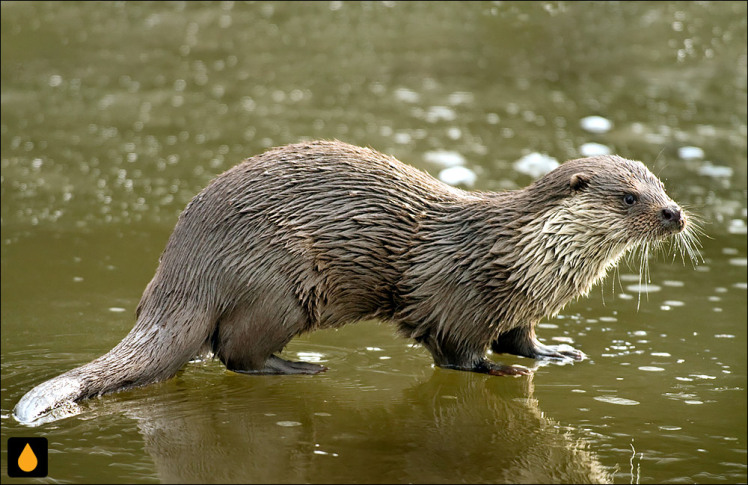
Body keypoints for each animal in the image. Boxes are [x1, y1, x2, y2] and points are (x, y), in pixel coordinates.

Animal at [13, 138, 700, 422]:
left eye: (663, 185)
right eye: (630, 197)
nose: (674, 213)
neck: (523, 255)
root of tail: (180, 271)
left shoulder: (519, 305)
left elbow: (521, 338)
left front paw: (552, 355)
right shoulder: (460, 298)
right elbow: (457, 351)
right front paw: (494, 373)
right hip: (279, 283)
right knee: (236, 352)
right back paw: (299, 367)